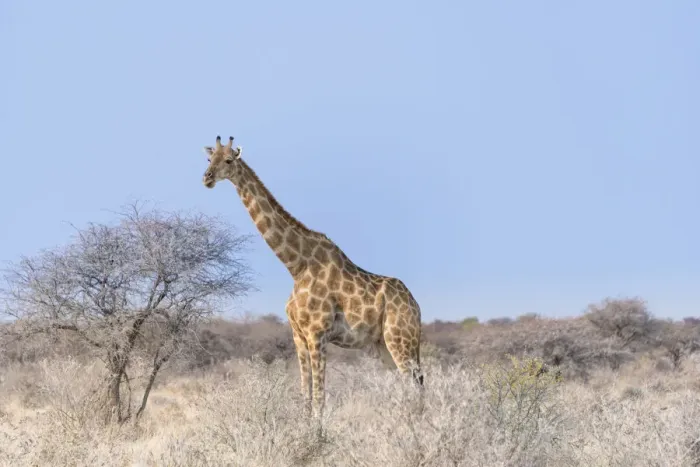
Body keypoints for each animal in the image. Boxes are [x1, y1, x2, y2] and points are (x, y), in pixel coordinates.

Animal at [201, 136, 424, 418]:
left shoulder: (317, 334)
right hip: (383, 345)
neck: (297, 265)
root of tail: (416, 306)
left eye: (229, 160)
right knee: (408, 386)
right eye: (210, 159)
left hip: (400, 339)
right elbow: (305, 396)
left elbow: (319, 398)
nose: (207, 178)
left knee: (416, 385)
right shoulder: (298, 335)